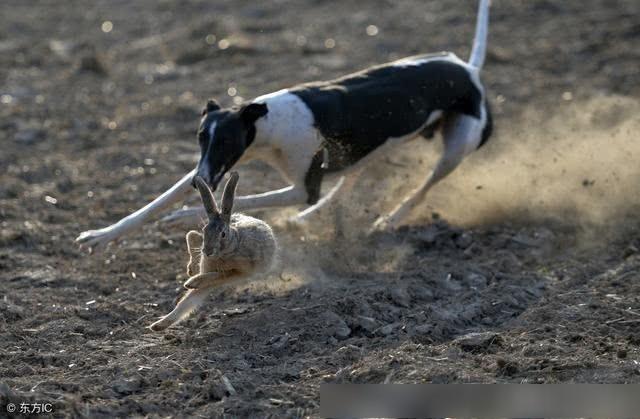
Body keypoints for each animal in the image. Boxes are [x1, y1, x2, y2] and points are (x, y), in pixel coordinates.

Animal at [77, 0, 492, 253]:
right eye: (200, 138)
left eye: (227, 141)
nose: (202, 181)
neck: (270, 122)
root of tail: (467, 69)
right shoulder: (211, 166)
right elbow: (150, 205)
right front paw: (100, 235)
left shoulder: (298, 186)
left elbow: (250, 199)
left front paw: (184, 214)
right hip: (366, 151)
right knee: (349, 180)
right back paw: (310, 218)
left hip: (456, 149)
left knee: (423, 188)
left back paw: (391, 218)